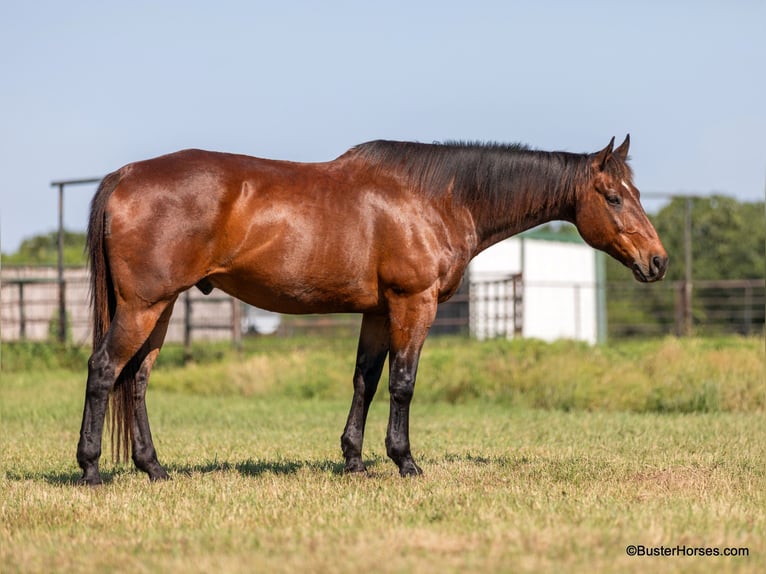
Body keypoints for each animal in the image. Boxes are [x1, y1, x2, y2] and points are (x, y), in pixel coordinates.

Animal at [76, 135, 667, 484]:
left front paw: (355, 460)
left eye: (636, 193)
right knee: (104, 369)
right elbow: (403, 383)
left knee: (137, 379)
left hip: (161, 308)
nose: (657, 261)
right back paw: (91, 469)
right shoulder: (413, 304)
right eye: (614, 196)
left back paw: (154, 469)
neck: (437, 197)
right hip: (143, 306)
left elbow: (366, 380)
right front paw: (405, 461)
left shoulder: (378, 313)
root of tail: (125, 175)